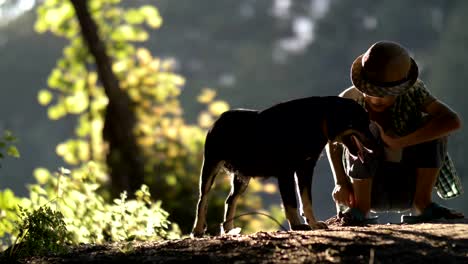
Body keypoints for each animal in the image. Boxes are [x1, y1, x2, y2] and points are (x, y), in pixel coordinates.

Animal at [192, 96, 374, 236]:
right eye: (359, 123)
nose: (373, 143)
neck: (317, 120)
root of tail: (218, 120)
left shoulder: (305, 169)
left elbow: (306, 200)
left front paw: (313, 224)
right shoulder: (286, 172)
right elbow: (291, 202)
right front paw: (297, 226)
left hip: (242, 176)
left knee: (230, 200)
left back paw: (229, 230)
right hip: (211, 164)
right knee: (203, 199)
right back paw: (198, 230)